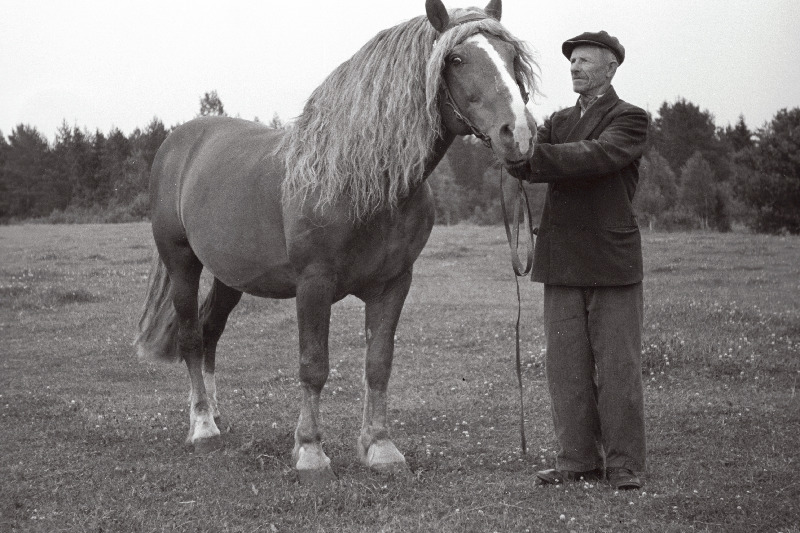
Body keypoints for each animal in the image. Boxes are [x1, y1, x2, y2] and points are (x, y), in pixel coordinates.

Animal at [136, 0, 536, 482]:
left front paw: (380, 447)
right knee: (192, 337)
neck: (360, 179)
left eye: (512, 57)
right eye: (456, 59)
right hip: (182, 264)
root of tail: (179, 142)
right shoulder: (314, 284)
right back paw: (202, 427)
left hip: (232, 277)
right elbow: (313, 366)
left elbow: (378, 363)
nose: (519, 134)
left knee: (211, 331)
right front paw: (310, 452)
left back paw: (213, 414)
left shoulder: (394, 284)